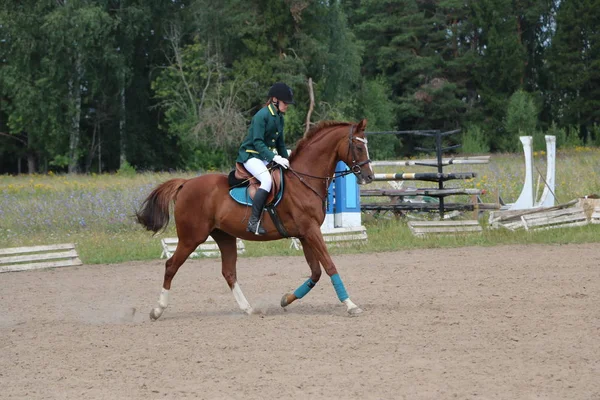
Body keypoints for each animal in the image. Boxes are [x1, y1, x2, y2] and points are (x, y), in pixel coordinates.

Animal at [135, 118, 376, 318]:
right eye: (358, 147)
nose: (369, 176)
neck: (304, 180)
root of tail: (185, 184)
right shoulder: (311, 231)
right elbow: (329, 266)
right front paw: (351, 305)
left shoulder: (306, 233)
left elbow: (316, 272)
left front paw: (286, 299)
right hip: (191, 238)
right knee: (171, 266)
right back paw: (157, 310)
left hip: (224, 236)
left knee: (229, 272)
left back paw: (248, 309)